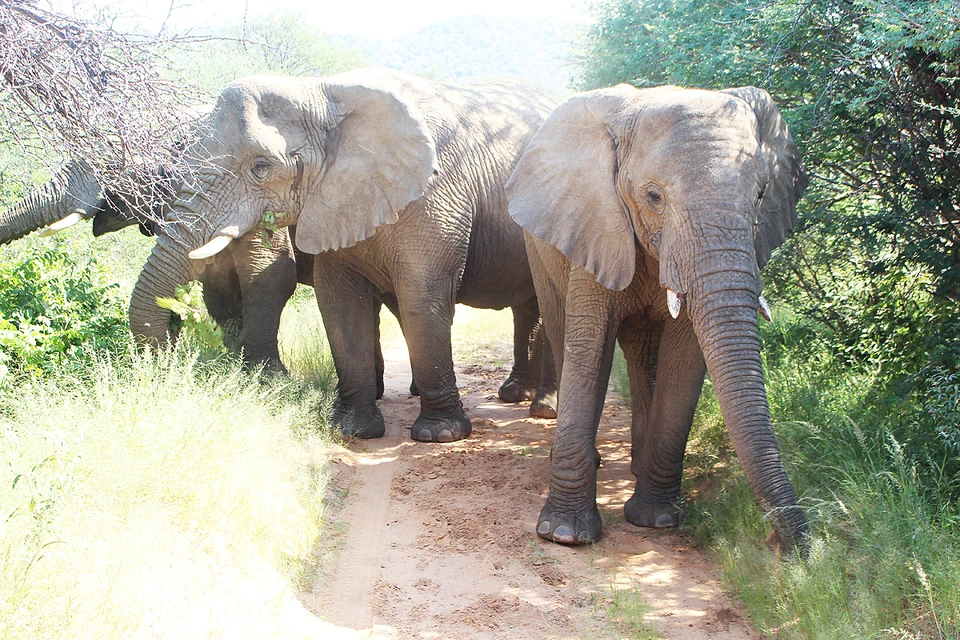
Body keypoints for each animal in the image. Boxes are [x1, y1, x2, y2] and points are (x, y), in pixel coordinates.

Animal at [129, 67, 564, 442]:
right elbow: (339, 303)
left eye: (260, 167)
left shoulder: (437, 193)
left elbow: (421, 297)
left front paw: (439, 435)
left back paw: (542, 408)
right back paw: (519, 395)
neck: (324, 92)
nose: (170, 350)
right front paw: (352, 430)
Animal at [510, 84, 808, 556]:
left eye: (761, 195)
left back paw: (638, 468)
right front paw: (563, 534)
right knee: (561, 328)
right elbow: (588, 347)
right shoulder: (596, 220)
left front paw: (657, 520)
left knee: (643, 355)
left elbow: (684, 361)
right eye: (653, 196)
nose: (793, 548)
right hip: (539, 246)